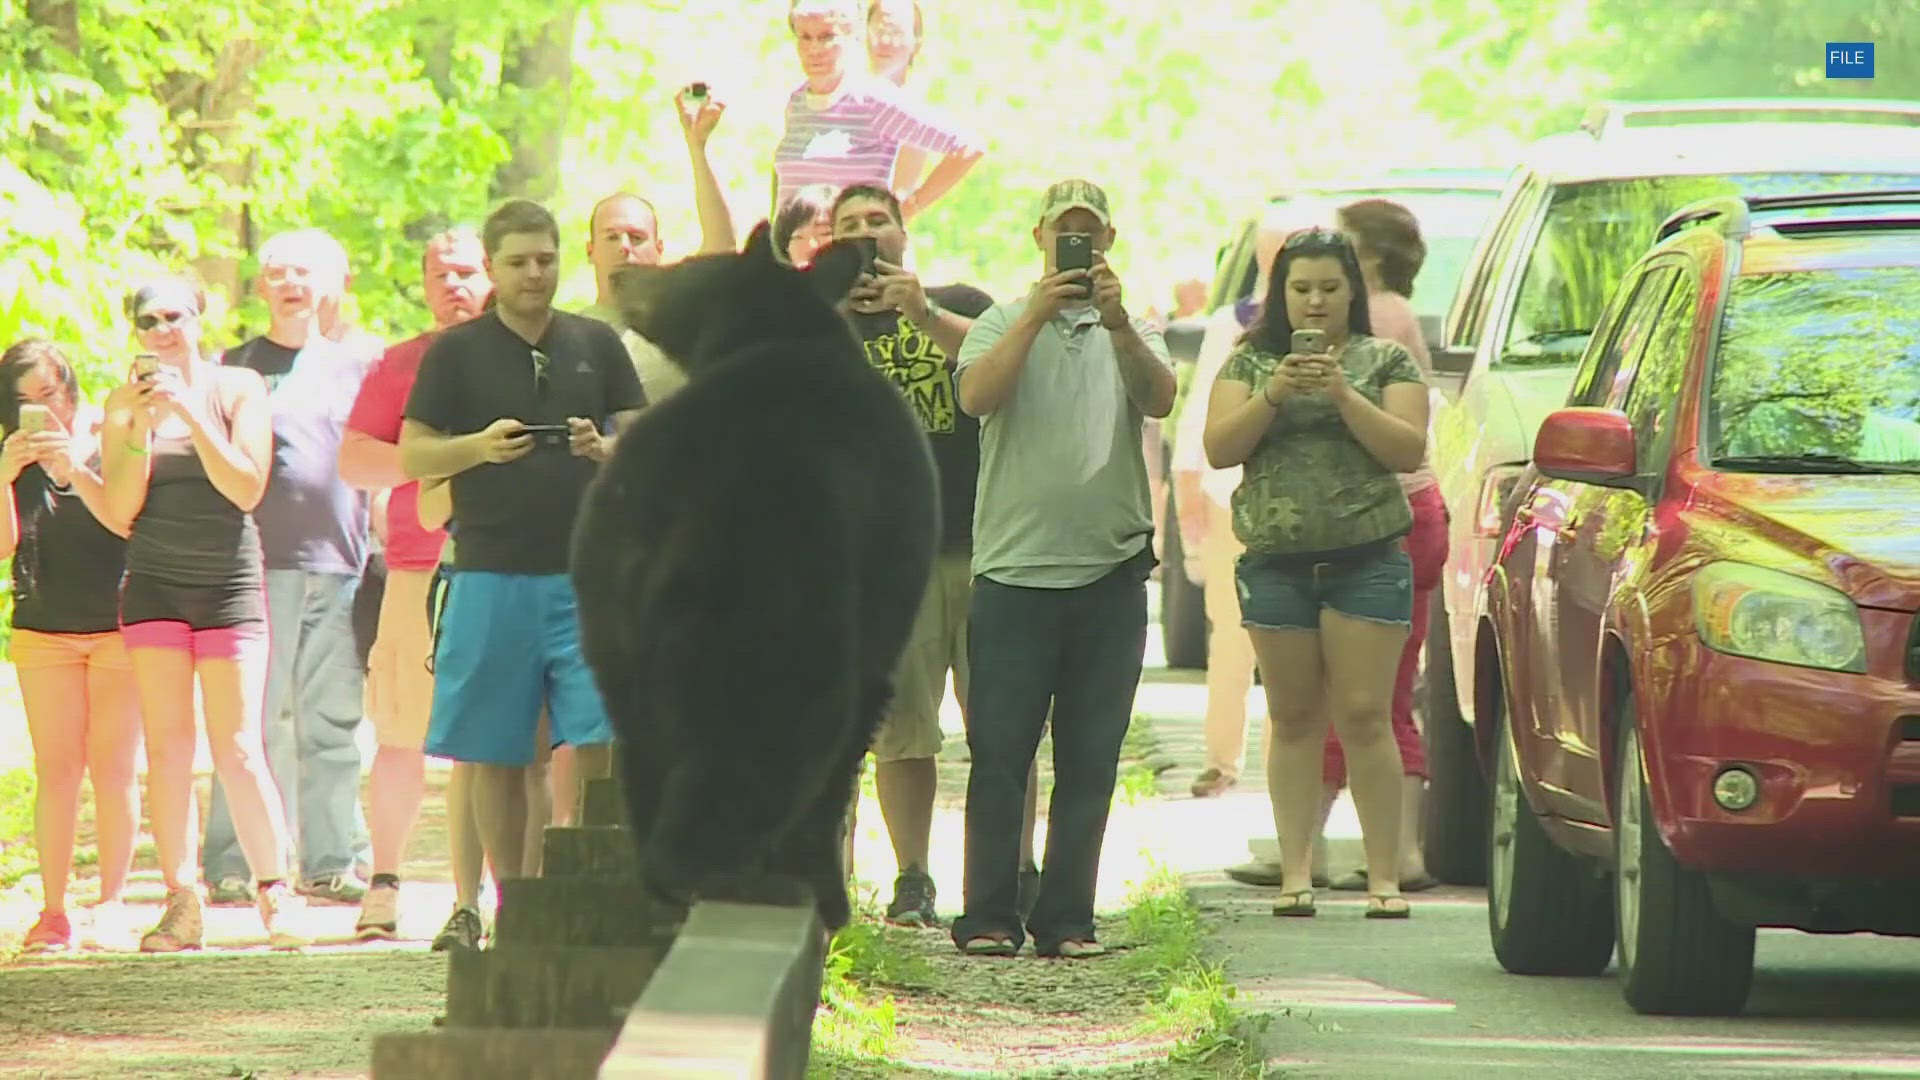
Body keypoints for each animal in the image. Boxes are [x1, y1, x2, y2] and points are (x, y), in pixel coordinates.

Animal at [568, 220, 936, 933]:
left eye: (681, 262)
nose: (623, 272)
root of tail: (678, 501)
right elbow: (851, 734)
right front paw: (825, 887)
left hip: (607, 597)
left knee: (644, 736)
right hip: (776, 590)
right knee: (778, 723)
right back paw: (720, 869)